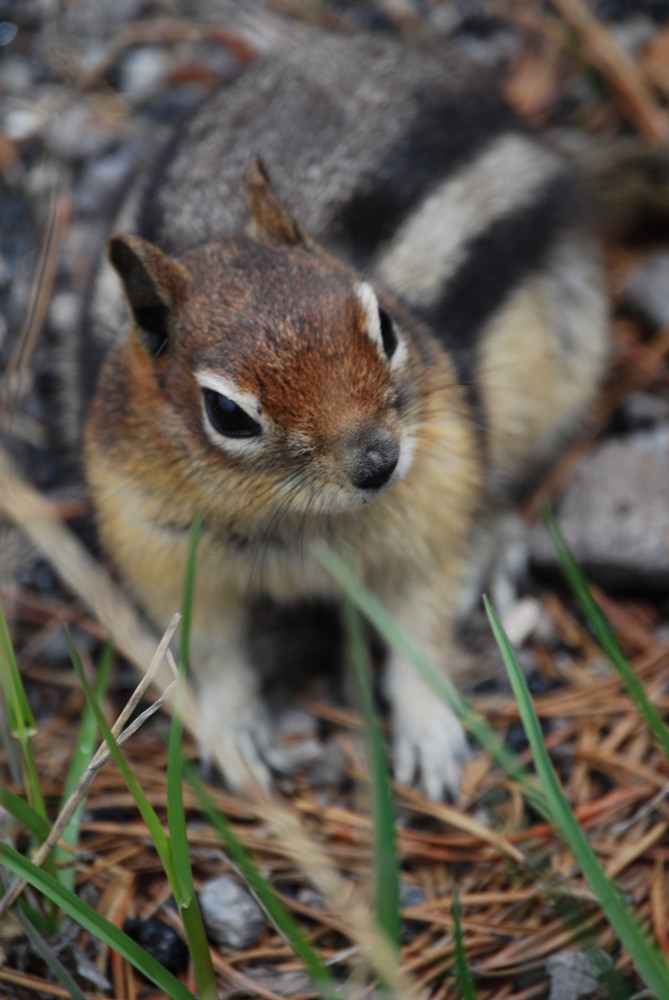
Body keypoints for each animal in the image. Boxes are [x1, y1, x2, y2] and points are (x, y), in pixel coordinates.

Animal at [77, 33, 612, 796]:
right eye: (226, 413)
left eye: (385, 325)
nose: (378, 462)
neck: (298, 520)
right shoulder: (161, 549)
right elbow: (209, 655)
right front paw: (237, 737)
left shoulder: (430, 512)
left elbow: (419, 634)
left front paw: (430, 735)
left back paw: (491, 548)